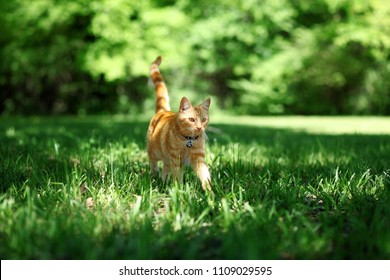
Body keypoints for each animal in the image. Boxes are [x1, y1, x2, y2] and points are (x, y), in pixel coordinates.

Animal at [146, 56, 212, 190]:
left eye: (204, 120)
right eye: (192, 119)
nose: (199, 128)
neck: (188, 140)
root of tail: (163, 111)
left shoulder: (199, 159)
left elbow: (205, 176)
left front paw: (210, 193)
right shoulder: (176, 159)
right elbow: (177, 178)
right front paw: (180, 192)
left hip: (166, 159)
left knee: (165, 169)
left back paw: (163, 182)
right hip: (155, 151)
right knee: (152, 161)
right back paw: (154, 175)